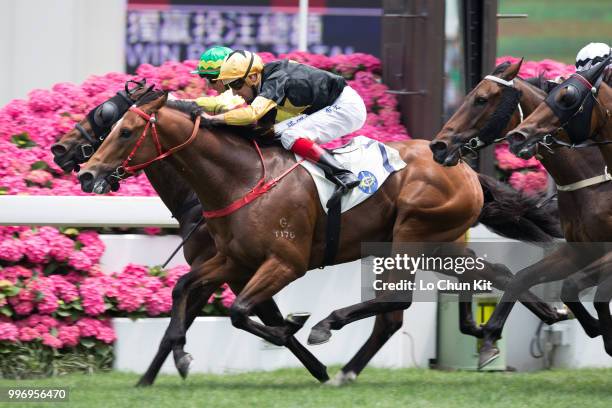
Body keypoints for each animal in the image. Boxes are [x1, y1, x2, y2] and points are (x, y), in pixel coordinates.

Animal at [77, 89, 568, 382]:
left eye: (122, 130)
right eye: (109, 125)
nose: (85, 172)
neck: (238, 179)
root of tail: (461, 166)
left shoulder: (285, 262)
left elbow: (242, 312)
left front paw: (299, 335)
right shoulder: (232, 260)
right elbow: (185, 290)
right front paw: (176, 358)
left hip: (412, 236)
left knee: (397, 303)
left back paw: (334, 334)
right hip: (437, 244)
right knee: (493, 273)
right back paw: (528, 319)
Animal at [430, 58, 612, 366]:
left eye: (481, 99)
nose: (438, 146)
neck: (597, 178)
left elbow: (583, 290)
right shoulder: (580, 250)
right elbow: (527, 279)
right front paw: (490, 337)